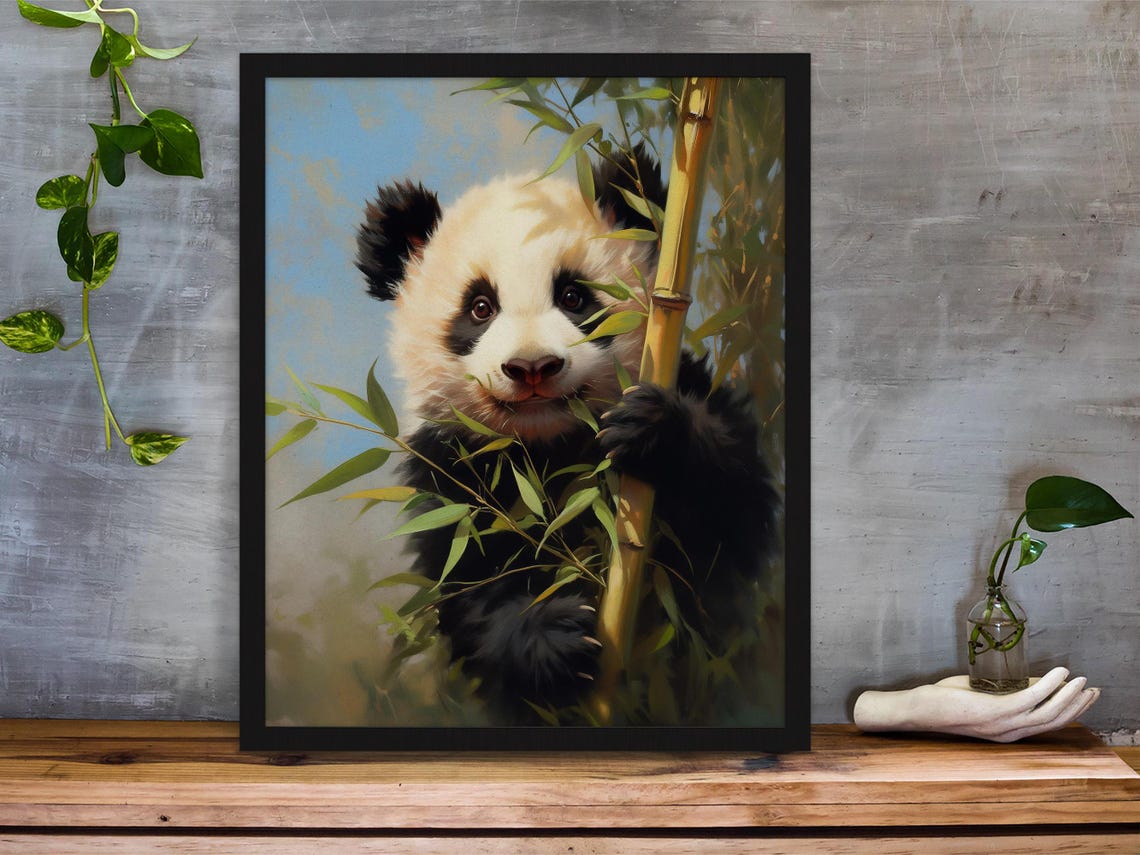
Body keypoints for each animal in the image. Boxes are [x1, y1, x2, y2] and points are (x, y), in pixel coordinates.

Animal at [355, 146, 779, 724]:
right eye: (480, 307)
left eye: (575, 296)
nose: (532, 367)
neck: (548, 447)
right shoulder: (455, 470)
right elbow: (468, 580)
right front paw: (551, 638)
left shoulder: (691, 388)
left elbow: (733, 520)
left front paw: (654, 431)